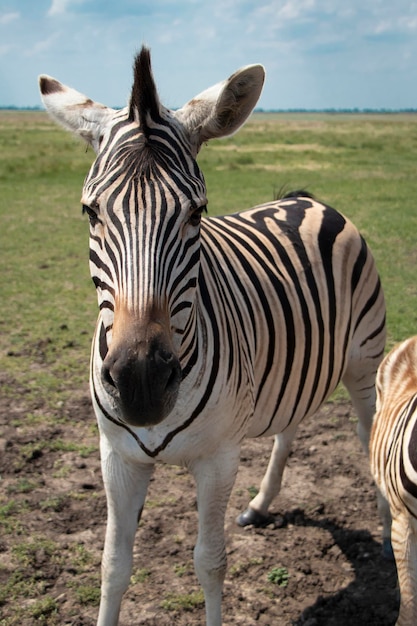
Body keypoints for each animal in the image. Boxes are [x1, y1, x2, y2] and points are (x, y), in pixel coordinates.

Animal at [39, 45, 386, 624]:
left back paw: (387, 540)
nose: (140, 383)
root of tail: (307, 200)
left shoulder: (218, 458)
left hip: (364, 362)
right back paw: (260, 505)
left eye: (197, 213)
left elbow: (209, 561)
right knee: (290, 427)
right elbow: (113, 564)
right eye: (89, 212)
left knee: (370, 434)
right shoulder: (116, 458)